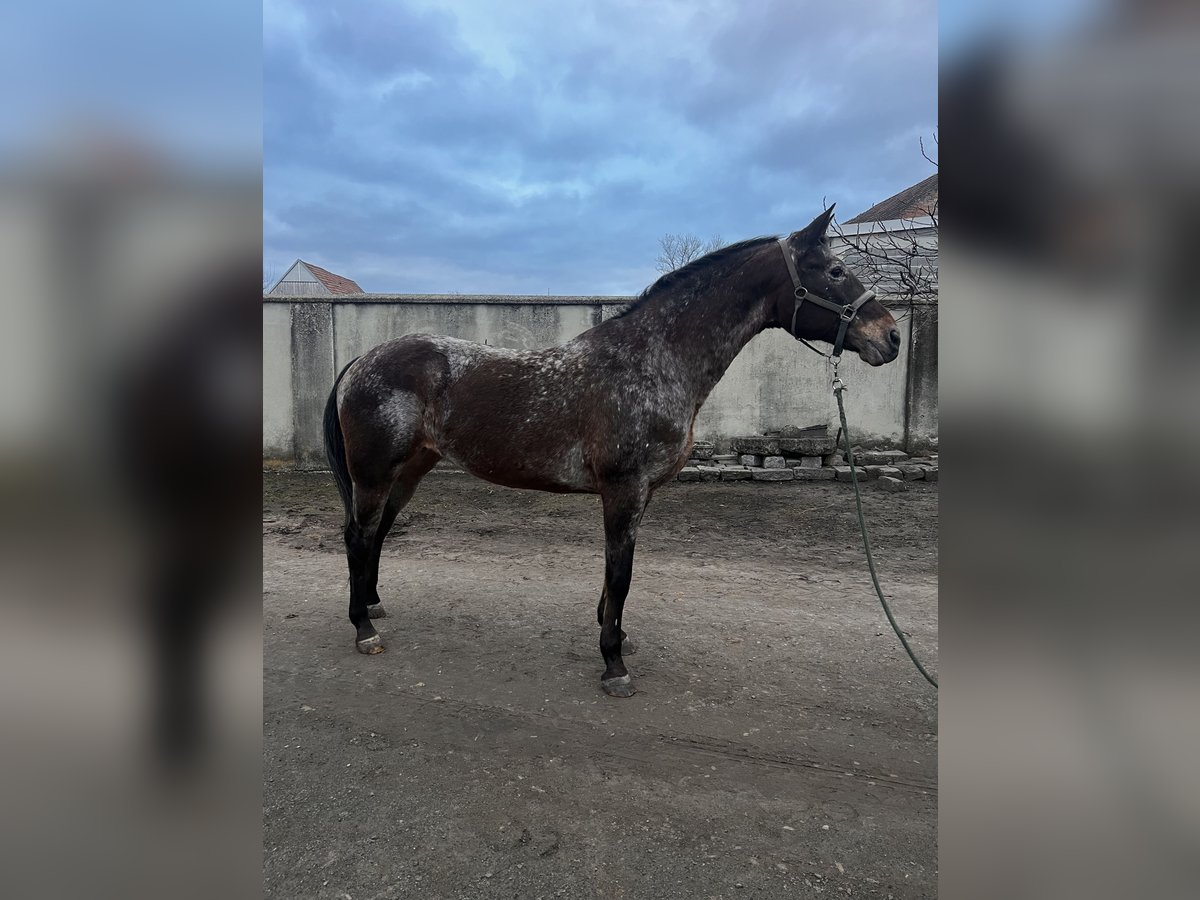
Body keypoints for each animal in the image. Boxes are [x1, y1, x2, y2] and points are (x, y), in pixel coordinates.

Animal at [324, 210, 897, 696]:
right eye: (836, 270)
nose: (890, 337)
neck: (651, 362)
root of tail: (362, 361)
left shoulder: (638, 495)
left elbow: (614, 575)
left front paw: (616, 638)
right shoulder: (623, 489)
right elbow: (620, 574)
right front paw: (613, 665)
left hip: (409, 471)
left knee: (378, 533)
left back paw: (372, 605)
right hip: (374, 473)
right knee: (357, 536)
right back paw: (362, 628)